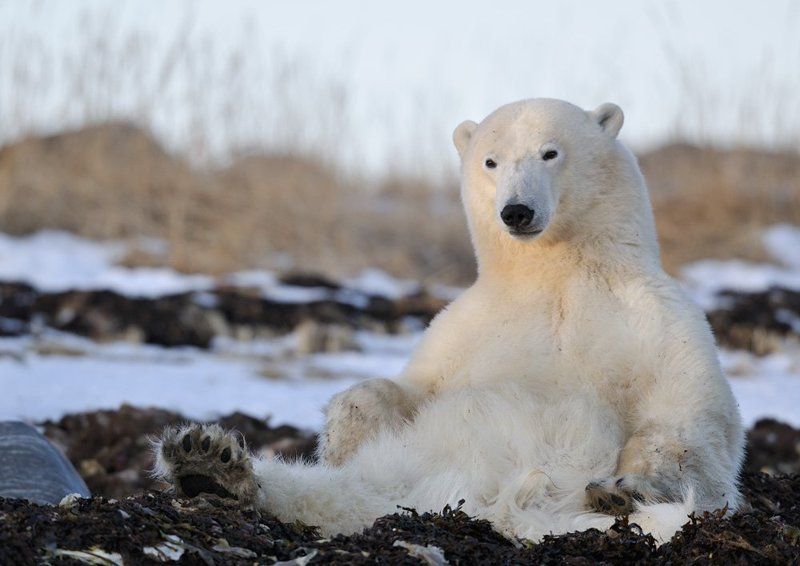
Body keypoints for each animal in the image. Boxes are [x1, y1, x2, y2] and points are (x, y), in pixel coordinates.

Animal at [154, 98, 744, 543]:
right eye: (491, 161)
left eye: (550, 152)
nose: (516, 211)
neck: (556, 276)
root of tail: (496, 506)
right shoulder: (466, 327)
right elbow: (406, 390)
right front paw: (347, 423)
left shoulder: (652, 316)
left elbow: (687, 418)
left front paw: (627, 487)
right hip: (405, 474)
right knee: (337, 493)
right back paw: (209, 462)